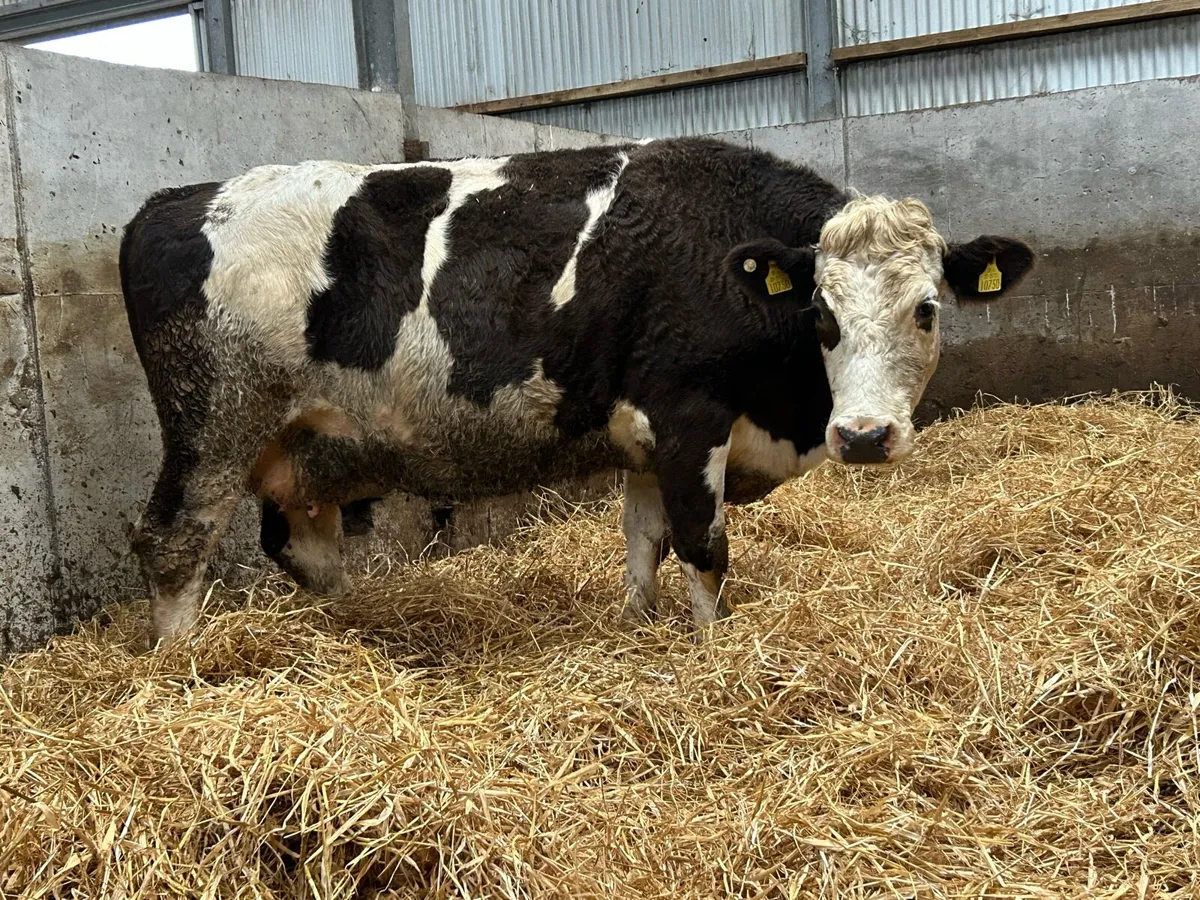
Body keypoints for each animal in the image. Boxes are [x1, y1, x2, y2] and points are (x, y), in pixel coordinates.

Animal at [119, 136, 1033, 646]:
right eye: (820, 313)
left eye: (926, 309)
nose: (867, 436)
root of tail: (178, 198)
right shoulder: (688, 417)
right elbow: (705, 548)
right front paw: (716, 652)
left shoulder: (647, 444)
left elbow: (642, 545)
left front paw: (639, 629)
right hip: (214, 418)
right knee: (173, 540)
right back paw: (180, 666)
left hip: (304, 444)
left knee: (303, 547)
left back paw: (352, 629)